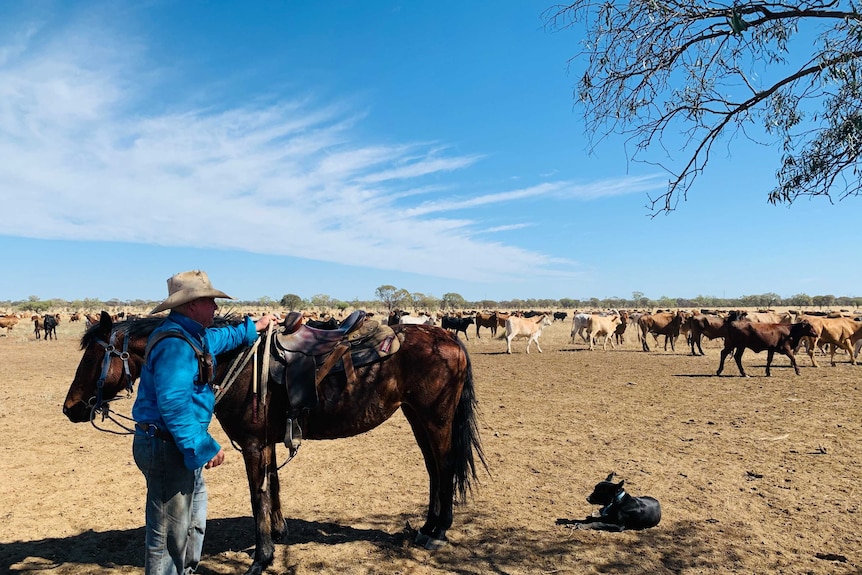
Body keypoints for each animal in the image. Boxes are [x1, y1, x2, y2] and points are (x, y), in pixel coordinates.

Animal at [63, 316, 486, 575]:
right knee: (434, 470)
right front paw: (278, 534)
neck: (232, 362)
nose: (70, 408)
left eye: (95, 356)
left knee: (445, 467)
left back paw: (438, 532)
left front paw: (261, 558)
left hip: (435, 418)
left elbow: (258, 495)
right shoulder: (265, 442)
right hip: (417, 416)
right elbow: (272, 487)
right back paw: (426, 527)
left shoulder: (252, 443)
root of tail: (448, 338)